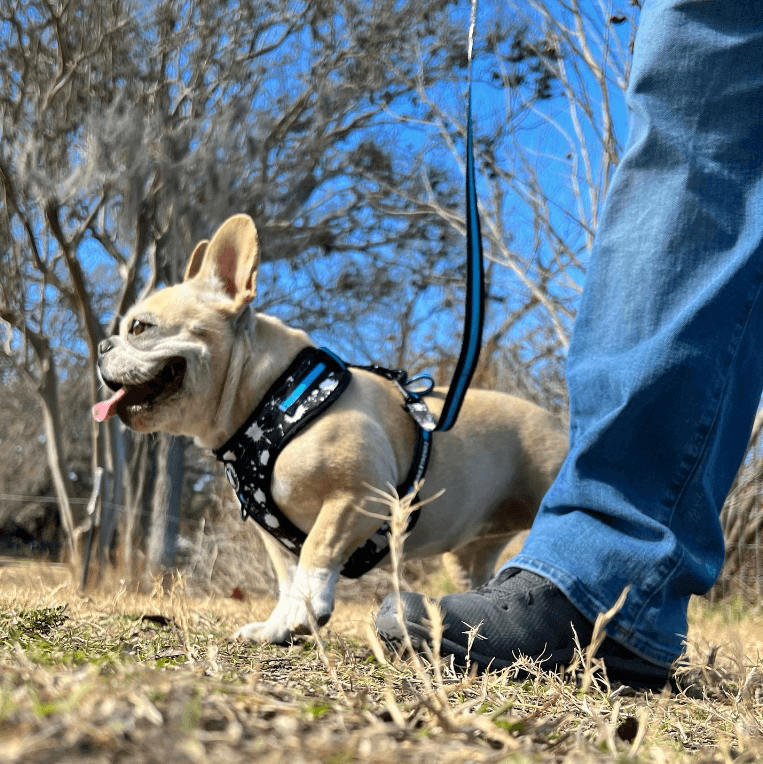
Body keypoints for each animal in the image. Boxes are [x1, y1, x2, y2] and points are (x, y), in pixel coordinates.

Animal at [94, 215, 568, 644]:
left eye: (140, 327)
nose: (100, 345)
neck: (271, 398)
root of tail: (560, 423)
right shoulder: (276, 536)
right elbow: (287, 577)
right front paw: (277, 627)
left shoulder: (358, 496)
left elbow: (317, 552)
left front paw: (306, 613)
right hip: (469, 553)